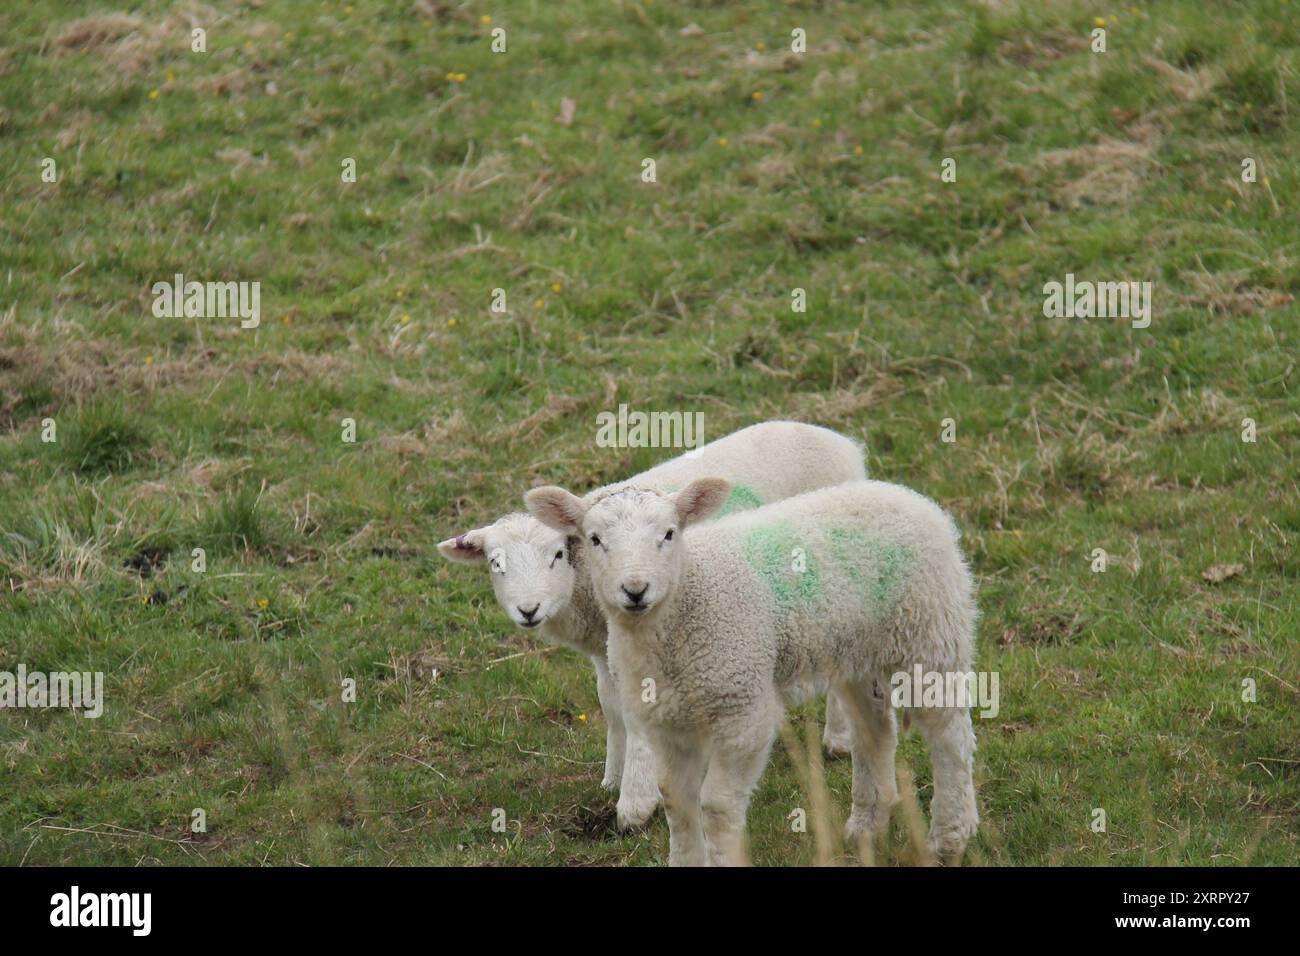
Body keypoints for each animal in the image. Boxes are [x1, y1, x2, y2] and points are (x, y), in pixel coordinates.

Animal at [438, 421, 866, 829]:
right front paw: (612, 777)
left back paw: (839, 740)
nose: (528, 610)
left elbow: (634, 716)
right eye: (495, 563)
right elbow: (611, 708)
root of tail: (843, 443)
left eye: (557, 554)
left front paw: (636, 803)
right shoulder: (604, 648)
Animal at [525, 477, 979, 866]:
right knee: (875, 729)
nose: (635, 591)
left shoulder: (743, 710)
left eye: (669, 534)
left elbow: (717, 806)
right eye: (595, 539)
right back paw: (866, 826)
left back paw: (950, 837)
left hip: (931, 632)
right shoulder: (667, 723)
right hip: (854, 651)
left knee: (949, 735)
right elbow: (677, 801)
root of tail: (908, 495)